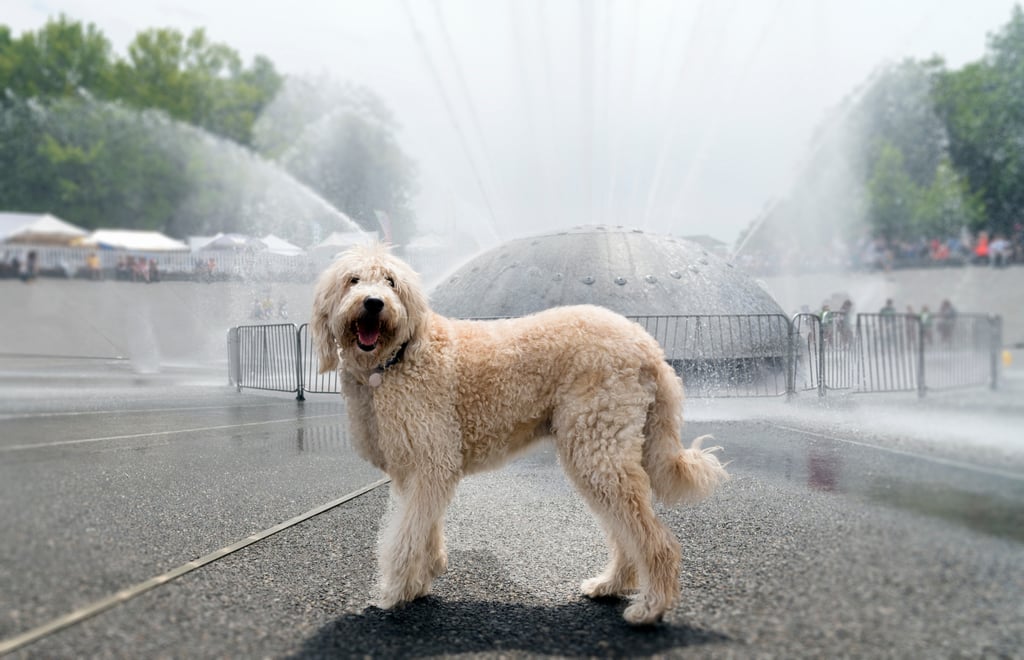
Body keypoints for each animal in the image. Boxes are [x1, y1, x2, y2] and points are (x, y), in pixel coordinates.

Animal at [311, 243, 729, 622]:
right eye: (353, 280)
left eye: (391, 282)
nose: (373, 303)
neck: (397, 359)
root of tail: (650, 346)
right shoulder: (415, 469)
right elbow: (422, 528)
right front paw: (423, 576)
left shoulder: (433, 460)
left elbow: (403, 537)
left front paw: (395, 590)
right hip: (599, 451)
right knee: (625, 528)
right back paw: (611, 584)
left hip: (597, 446)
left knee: (652, 538)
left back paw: (651, 606)